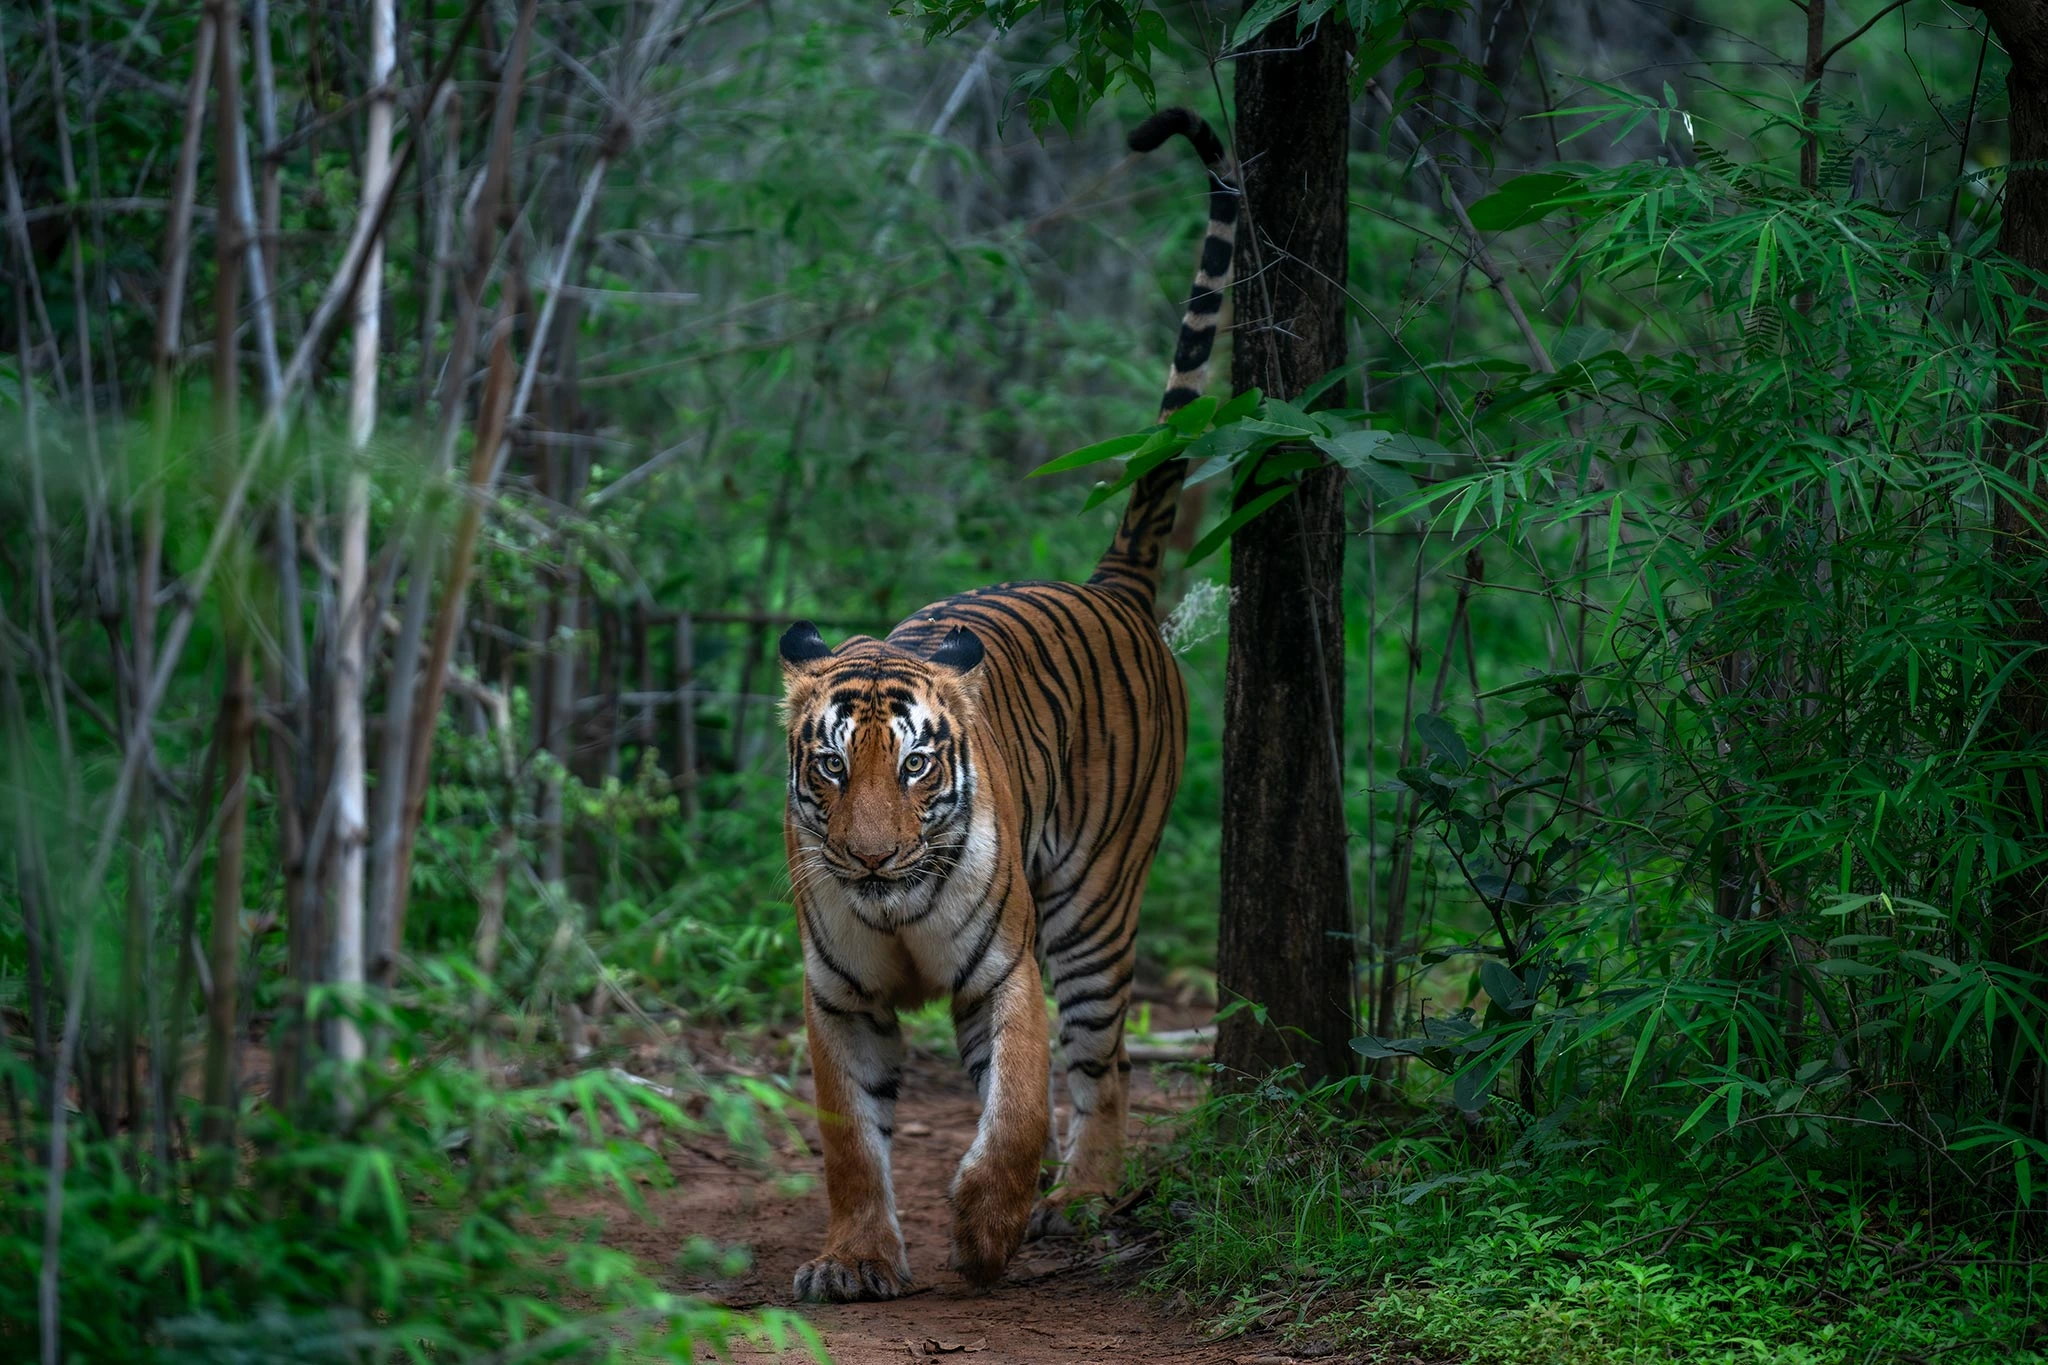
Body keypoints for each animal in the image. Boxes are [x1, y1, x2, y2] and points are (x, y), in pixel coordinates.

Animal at [777, 106, 1239, 1302]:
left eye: (917, 765)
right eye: (832, 767)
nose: (874, 858)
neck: (895, 915)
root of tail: (1112, 581)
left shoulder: (1008, 970)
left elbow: (1023, 1103)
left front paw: (985, 1232)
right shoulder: (837, 997)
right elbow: (851, 1138)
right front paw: (854, 1259)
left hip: (1092, 903)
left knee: (1103, 1062)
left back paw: (1077, 1201)